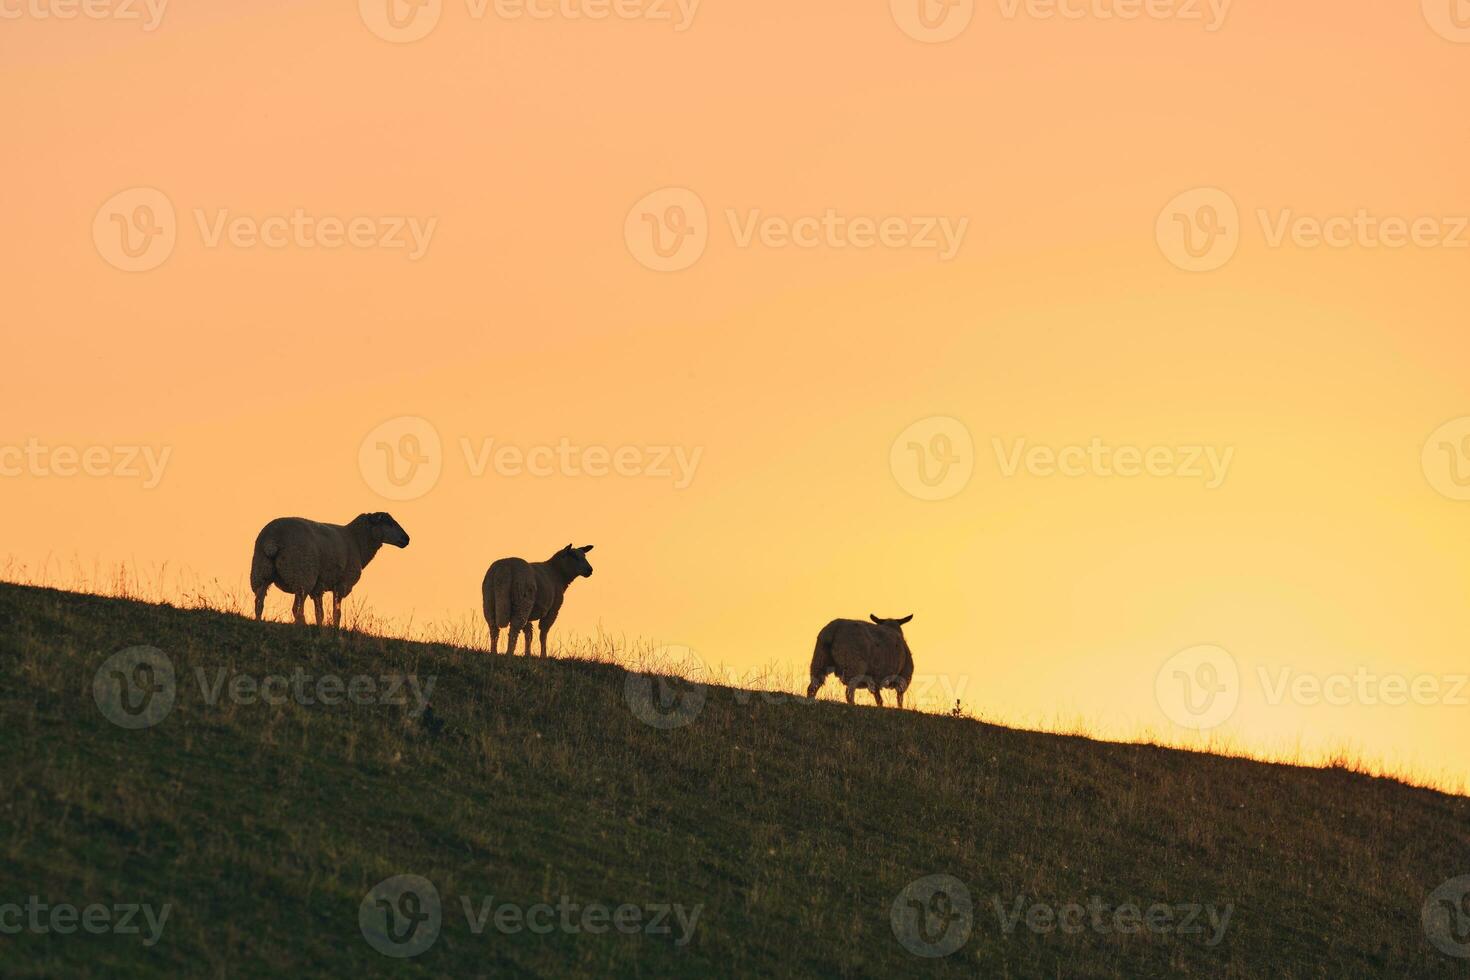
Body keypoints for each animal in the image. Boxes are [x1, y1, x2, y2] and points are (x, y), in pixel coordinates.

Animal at [246, 514, 408, 628]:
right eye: (389, 523)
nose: (407, 539)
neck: (357, 541)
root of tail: (273, 539)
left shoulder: (319, 587)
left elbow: (320, 613)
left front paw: (320, 628)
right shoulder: (341, 584)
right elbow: (337, 613)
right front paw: (335, 629)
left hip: (261, 572)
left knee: (259, 604)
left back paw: (258, 623)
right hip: (302, 575)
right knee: (296, 609)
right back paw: (302, 626)